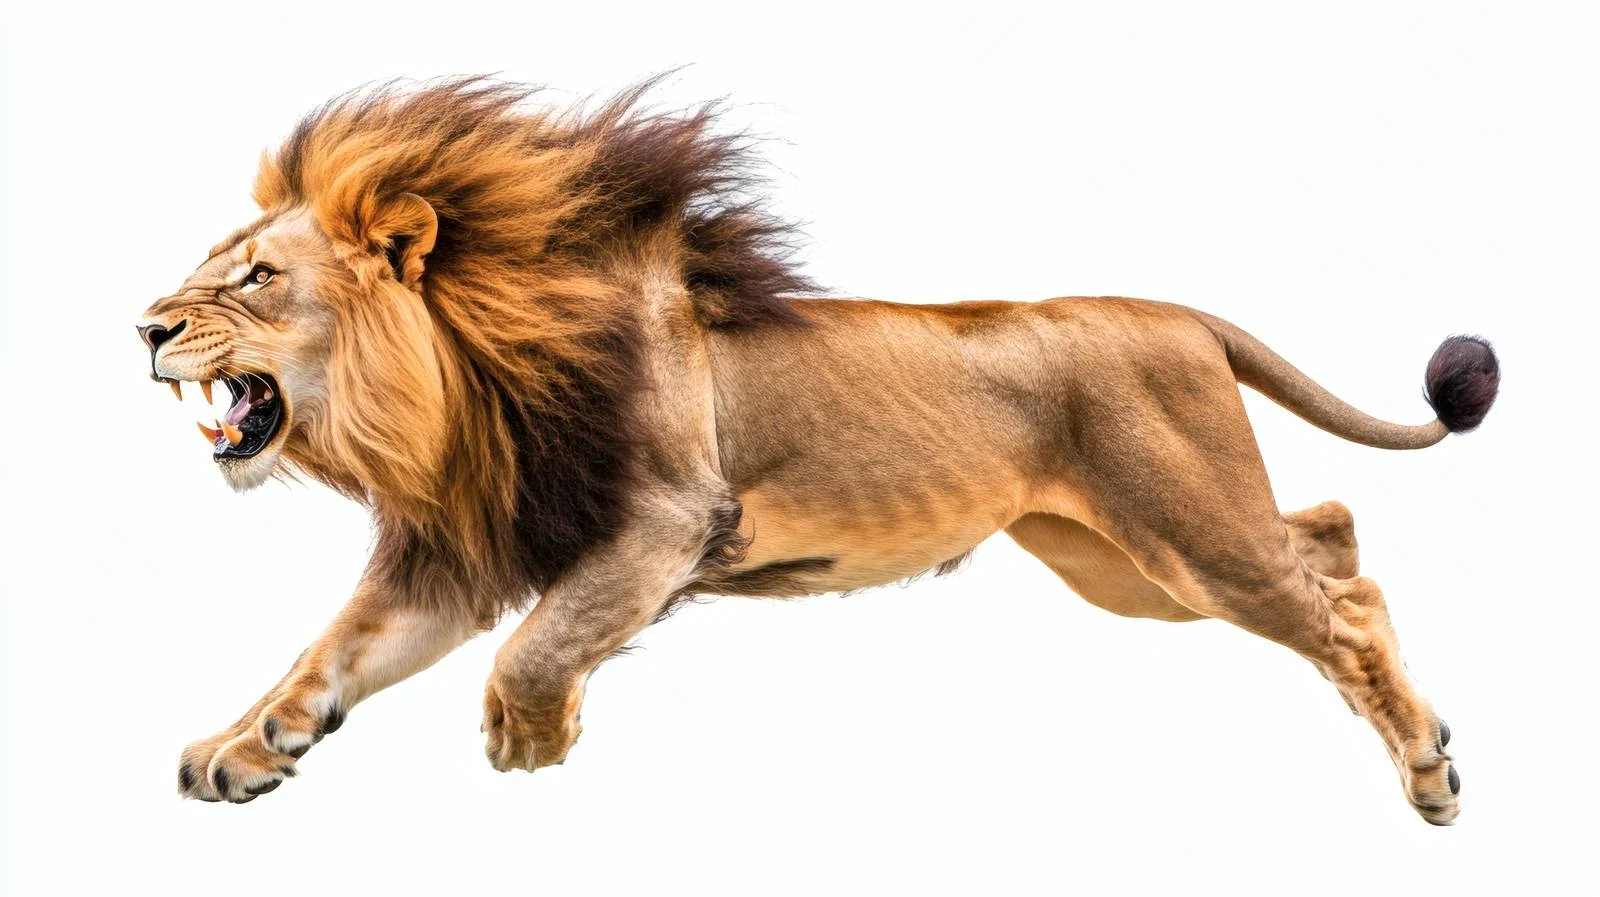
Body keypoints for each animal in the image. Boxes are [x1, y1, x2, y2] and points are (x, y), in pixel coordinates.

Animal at [136, 78, 1498, 824]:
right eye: (212, 267)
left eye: (255, 277)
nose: (145, 327)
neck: (459, 382)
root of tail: (1179, 314)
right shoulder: (457, 555)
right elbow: (327, 655)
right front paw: (244, 750)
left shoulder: (670, 521)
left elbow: (537, 645)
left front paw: (531, 738)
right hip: (1122, 567)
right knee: (1333, 536)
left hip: (1186, 536)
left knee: (1340, 604)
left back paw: (1429, 772)